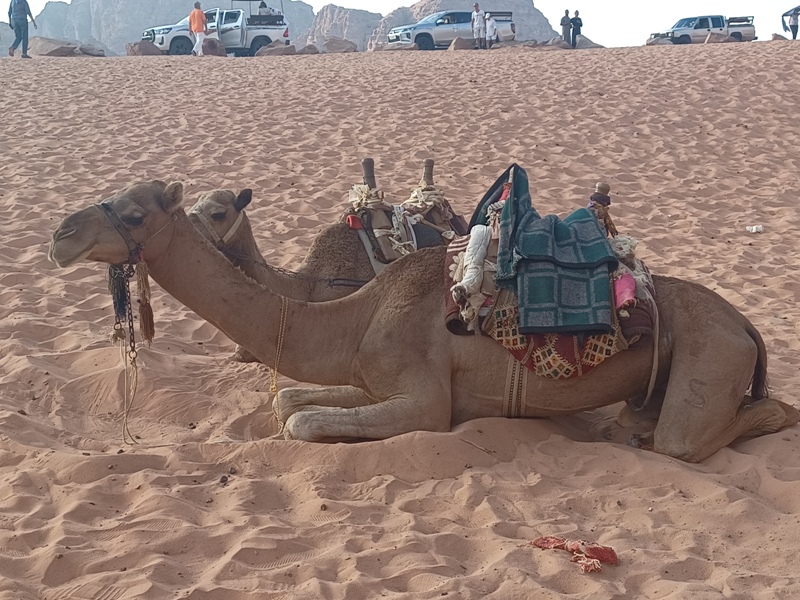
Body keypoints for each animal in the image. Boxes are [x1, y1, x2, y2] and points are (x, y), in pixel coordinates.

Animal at [49, 180, 799, 462]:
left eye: (135, 211)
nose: (61, 233)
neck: (353, 314)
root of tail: (746, 324)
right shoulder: (370, 376)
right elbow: (290, 400)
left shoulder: (426, 400)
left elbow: (302, 421)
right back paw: (629, 424)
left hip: (712, 360)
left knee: (708, 432)